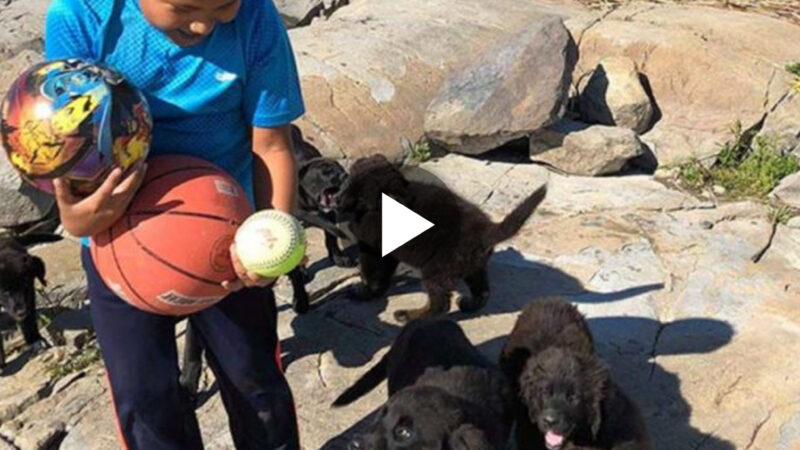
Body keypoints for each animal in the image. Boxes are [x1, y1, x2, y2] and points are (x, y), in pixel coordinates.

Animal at [0, 232, 61, 370]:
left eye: (26, 286)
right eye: (4, 292)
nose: (21, 312)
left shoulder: (30, 298)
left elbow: (29, 322)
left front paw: (35, 340)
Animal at [334, 156, 548, 324]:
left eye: (361, 198)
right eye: (347, 184)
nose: (337, 202)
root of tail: (487, 229)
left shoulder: (374, 249)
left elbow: (373, 274)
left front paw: (363, 293)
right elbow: (383, 276)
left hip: (437, 269)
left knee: (440, 304)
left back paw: (411, 317)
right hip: (472, 267)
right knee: (483, 291)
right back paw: (469, 304)